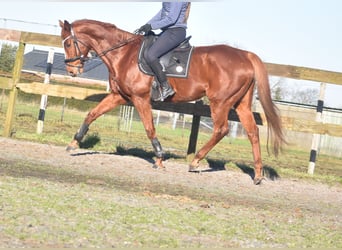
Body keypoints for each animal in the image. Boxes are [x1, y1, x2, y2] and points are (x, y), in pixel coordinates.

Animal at [59, 19, 286, 184]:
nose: (72, 70)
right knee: (252, 132)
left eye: (68, 43)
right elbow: (92, 114)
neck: (123, 54)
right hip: (241, 104)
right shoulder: (119, 96)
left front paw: (159, 158)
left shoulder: (140, 98)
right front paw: (73, 143)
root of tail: (245, 56)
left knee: (221, 130)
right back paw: (258, 174)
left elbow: (149, 128)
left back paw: (195, 161)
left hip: (220, 102)